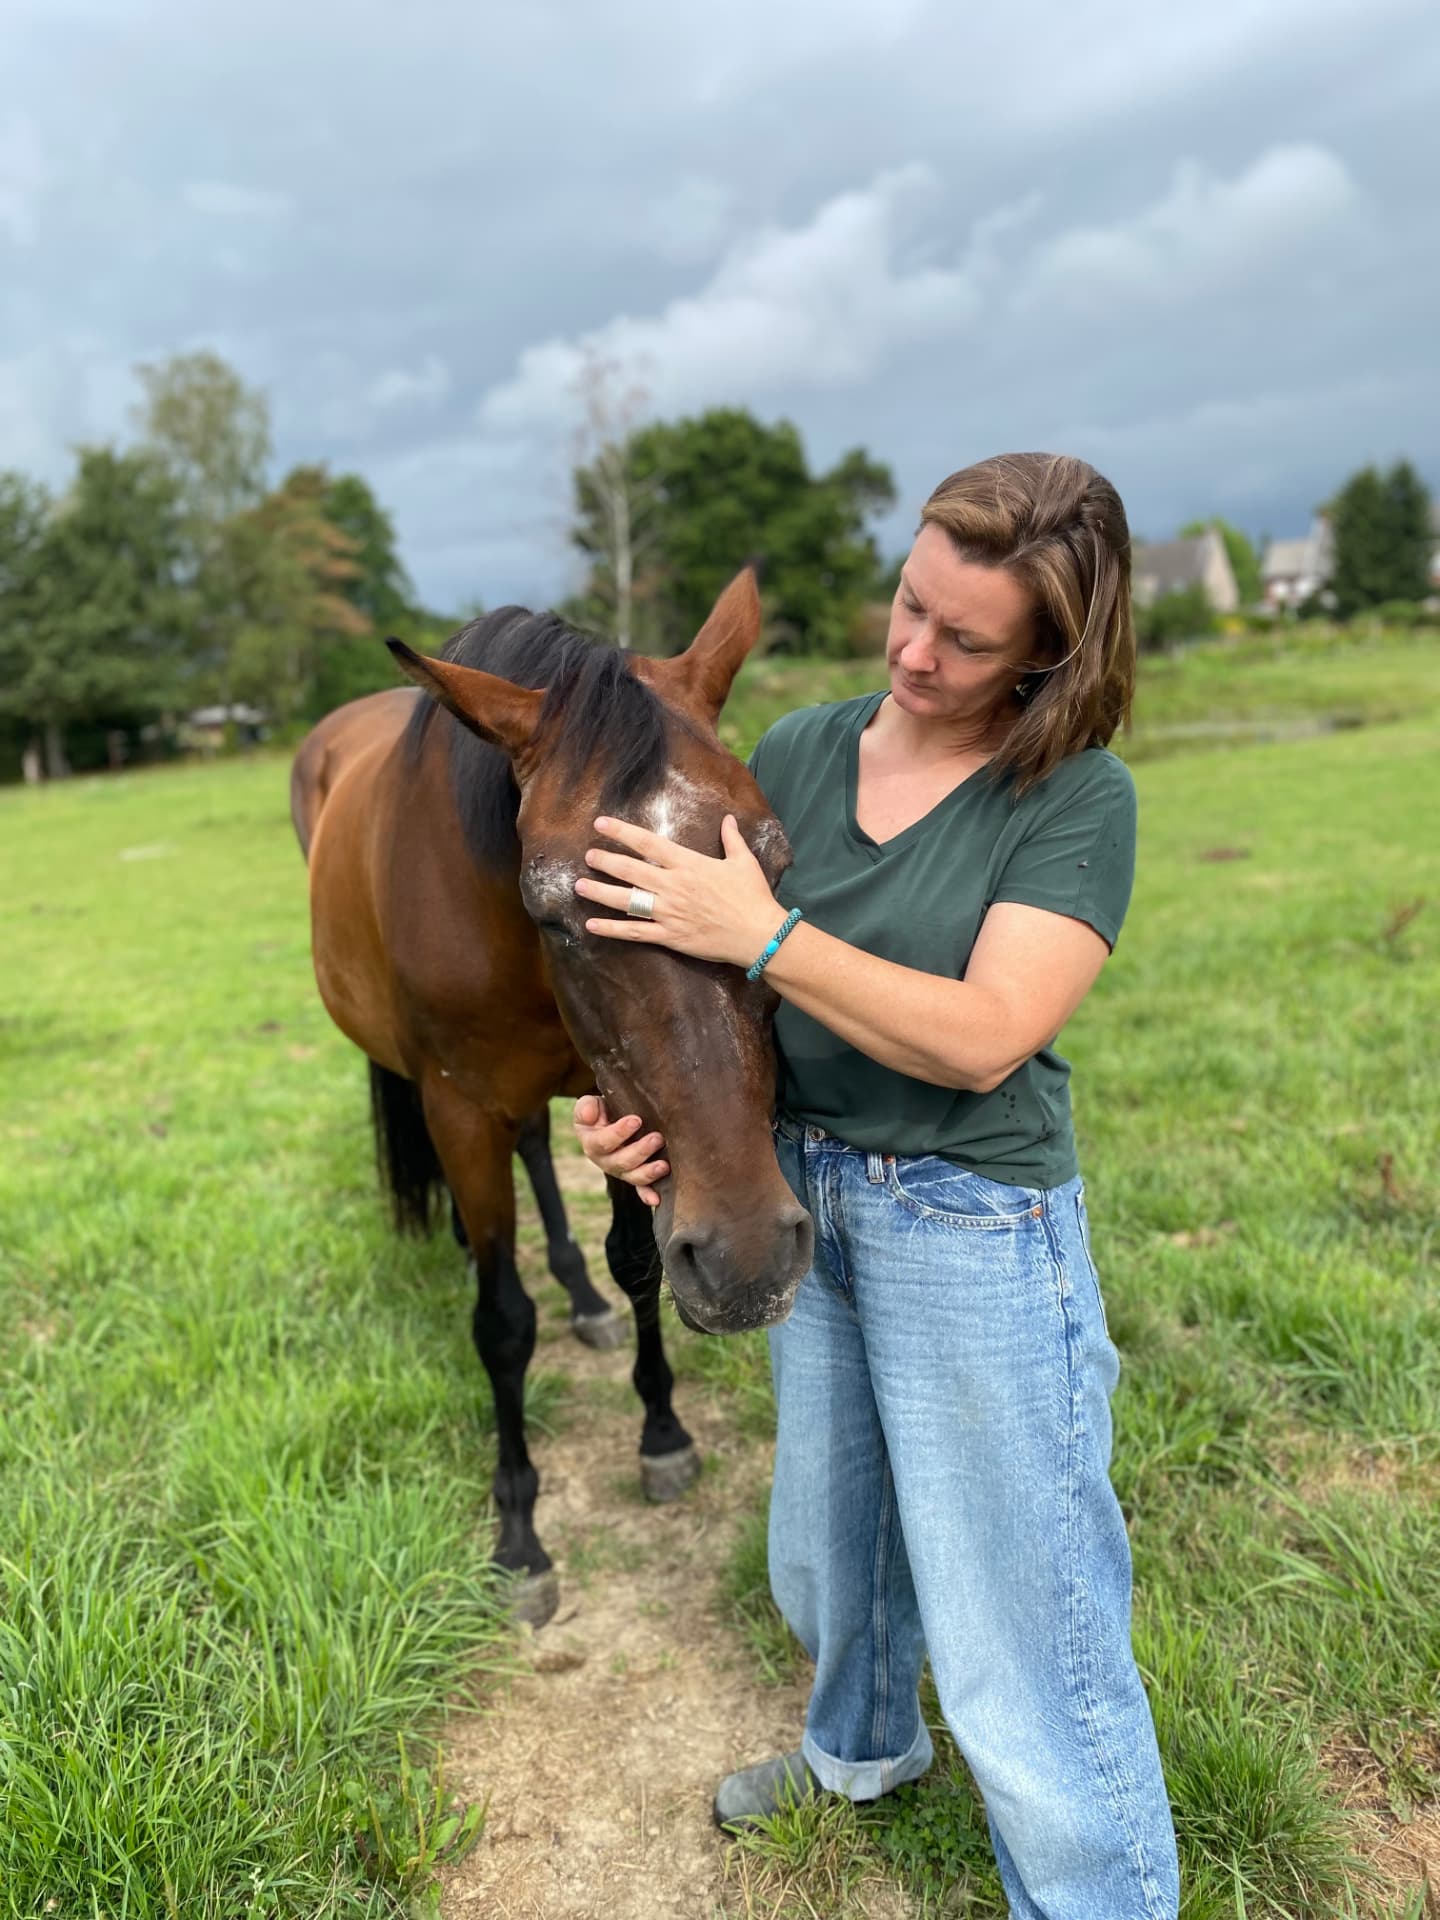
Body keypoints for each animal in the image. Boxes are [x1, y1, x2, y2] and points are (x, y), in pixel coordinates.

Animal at [290, 571, 814, 1625]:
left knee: (537, 1148)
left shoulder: (613, 1094)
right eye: (555, 910)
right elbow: (501, 1324)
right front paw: (520, 1539)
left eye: (772, 868)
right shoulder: (460, 1108)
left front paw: (662, 1431)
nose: (748, 1262)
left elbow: (638, 1263)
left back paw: (578, 1292)